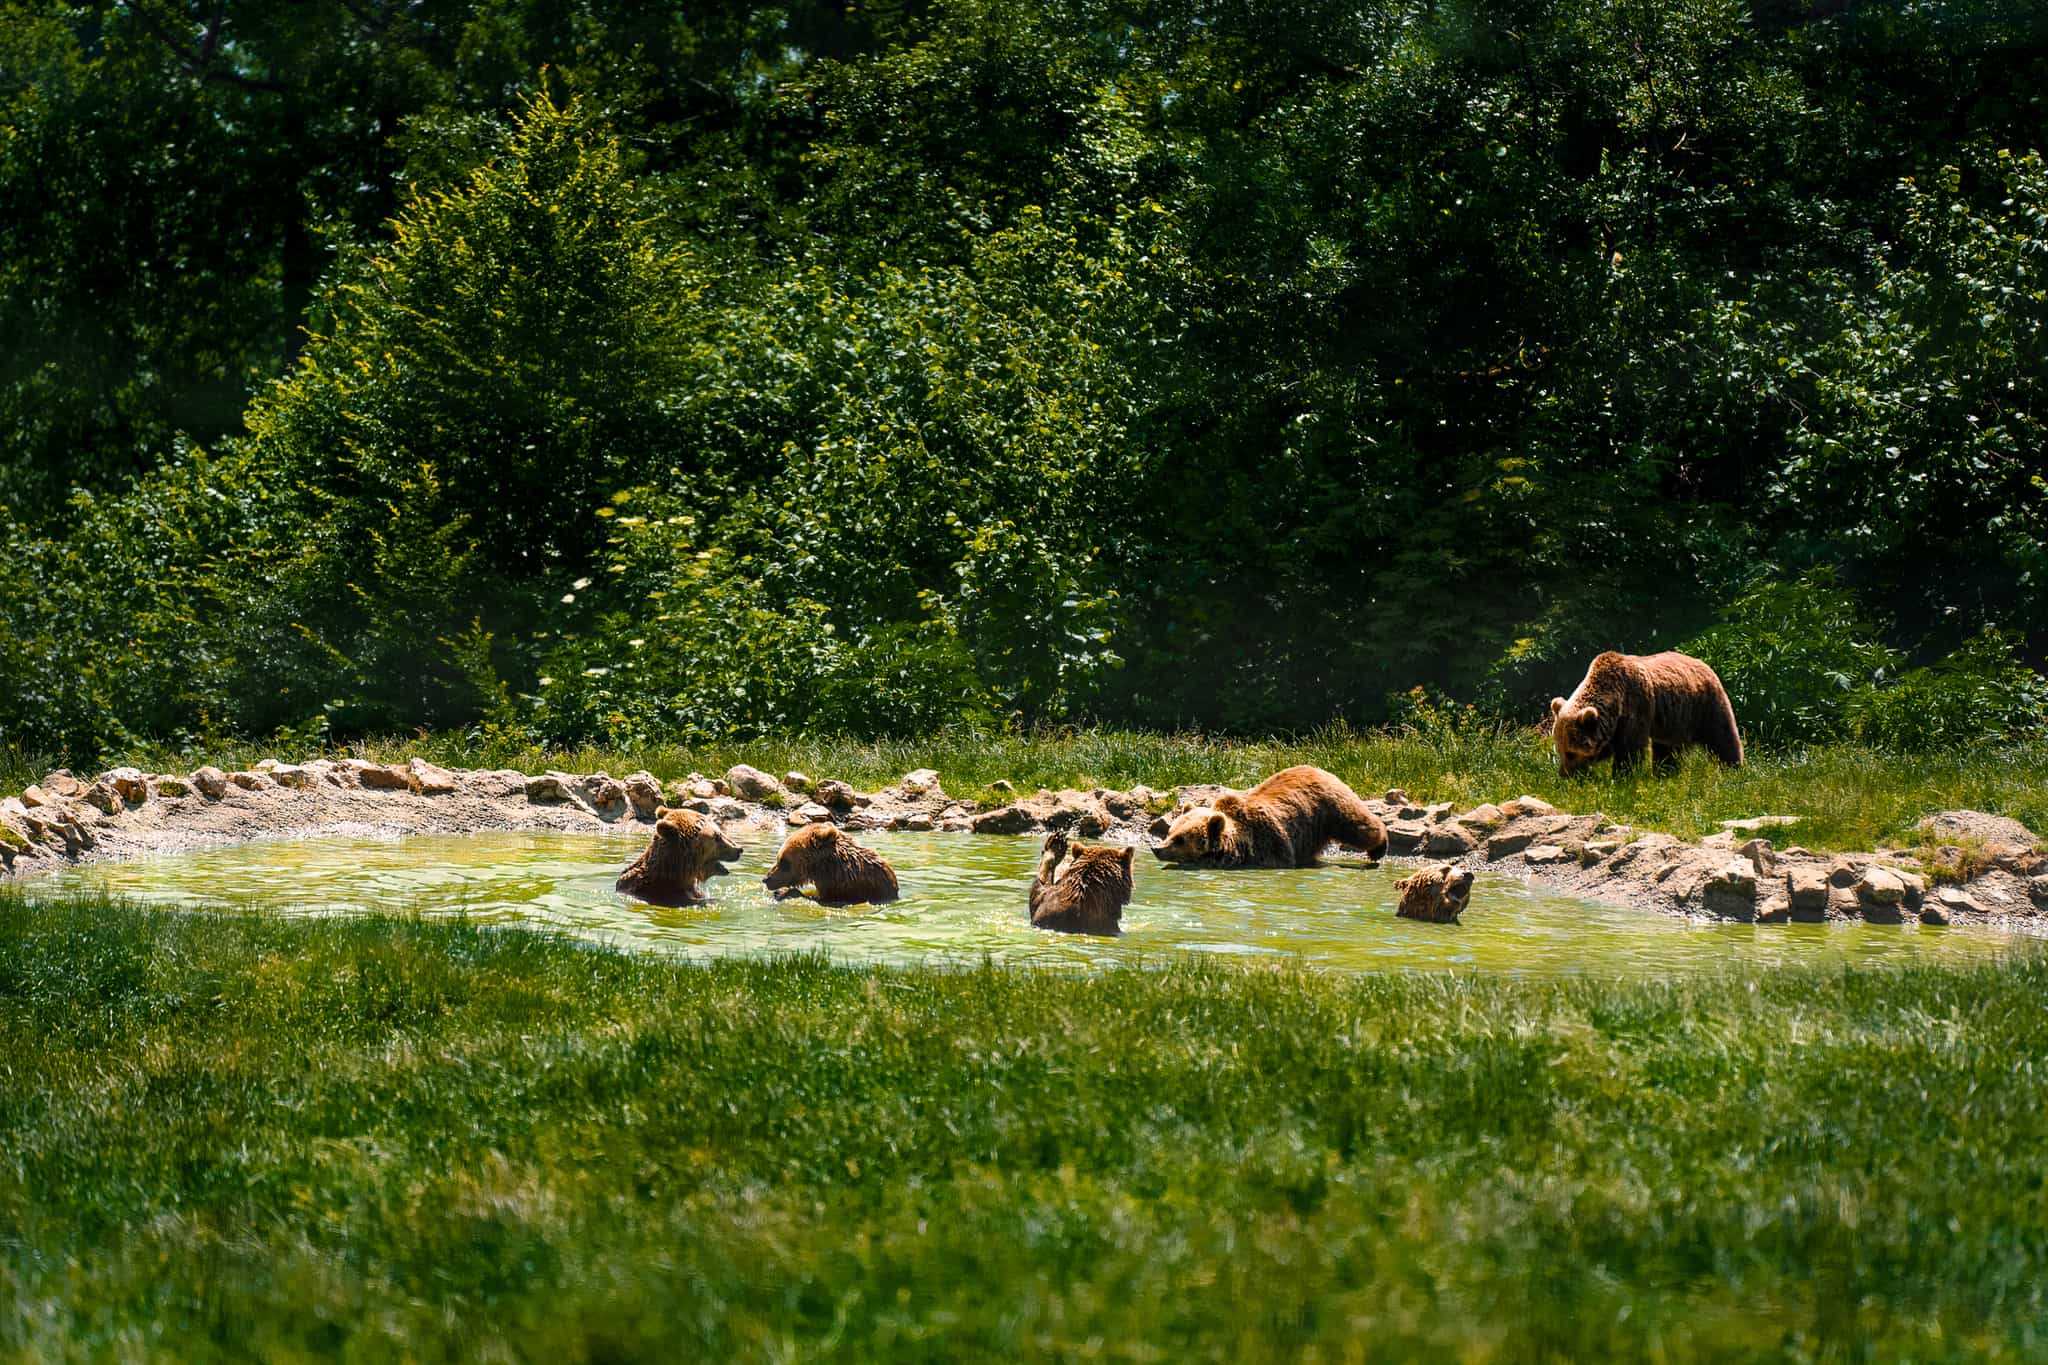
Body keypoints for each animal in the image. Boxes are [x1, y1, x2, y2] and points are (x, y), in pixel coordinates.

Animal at [1152, 765, 1388, 868]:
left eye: (1180, 839)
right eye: (1170, 832)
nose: (1156, 848)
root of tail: (1320, 768)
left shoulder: (1270, 844)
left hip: (1330, 809)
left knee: (1358, 827)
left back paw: (1379, 848)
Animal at [1548, 651, 1744, 776]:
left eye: (1571, 752)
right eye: (1559, 749)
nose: (1564, 774)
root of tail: (1703, 663)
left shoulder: (1635, 705)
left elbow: (1630, 749)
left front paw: (1622, 778)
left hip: (1704, 705)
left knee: (1722, 737)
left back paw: (1733, 770)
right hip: (1672, 722)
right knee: (1667, 751)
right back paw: (1665, 774)